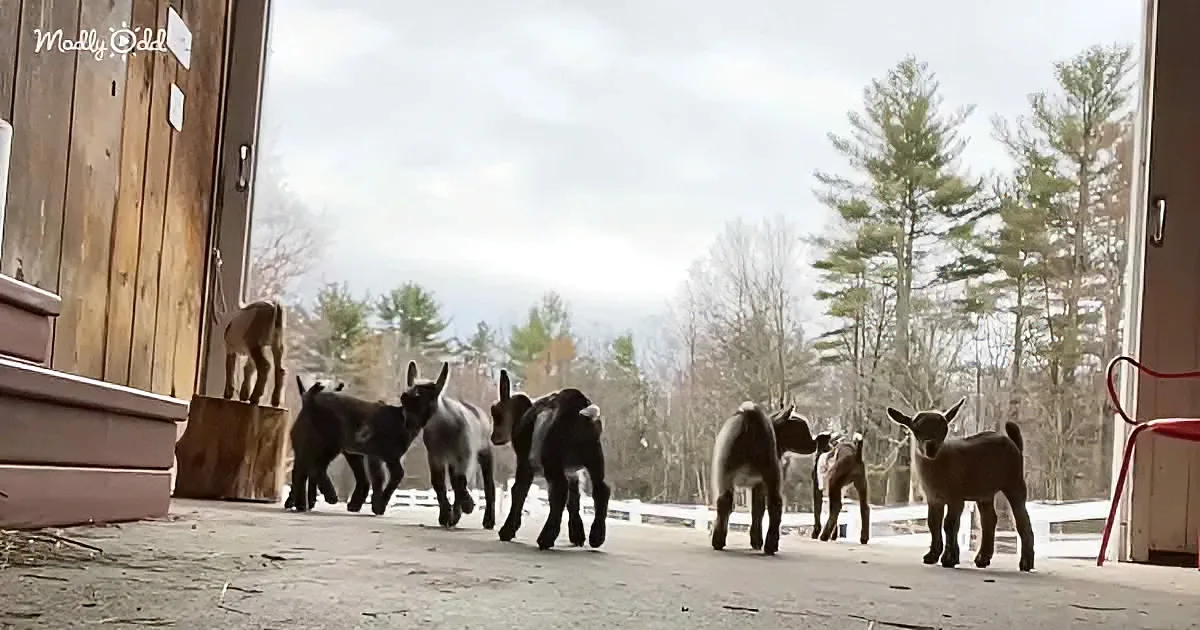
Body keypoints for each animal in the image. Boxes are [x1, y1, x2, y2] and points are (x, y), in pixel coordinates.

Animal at [287, 377, 425, 515]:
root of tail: (310, 401)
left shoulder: (361, 454)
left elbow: (368, 478)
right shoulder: (375, 455)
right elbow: (377, 478)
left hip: (322, 447)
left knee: (305, 470)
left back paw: (302, 503)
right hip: (329, 444)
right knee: (313, 468)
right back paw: (326, 497)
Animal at [400, 361, 496, 530]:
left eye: (422, 401)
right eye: (403, 399)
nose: (407, 422)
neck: (442, 425)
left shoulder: (465, 457)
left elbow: (460, 482)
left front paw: (467, 505)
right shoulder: (435, 457)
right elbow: (439, 484)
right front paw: (446, 514)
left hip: (484, 453)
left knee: (487, 486)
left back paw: (487, 520)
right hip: (452, 461)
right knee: (454, 482)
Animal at [489, 369, 609, 550]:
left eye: (496, 413)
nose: (494, 438)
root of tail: (579, 409)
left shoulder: (524, 462)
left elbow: (518, 491)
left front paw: (507, 532)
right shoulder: (572, 471)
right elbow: (574, 499)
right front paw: (577, 536)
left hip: (552, 457)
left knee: (559, 491)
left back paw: (545, 538)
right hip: (593, 455)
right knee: (600, 489)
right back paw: (596, 537)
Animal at [710, 402, 817, 555]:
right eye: (802, 429)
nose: (815, 443)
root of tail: (751, 416)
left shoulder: (757, 483)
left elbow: (757, 509)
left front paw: (755, 540)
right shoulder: (761, 483)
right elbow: (758, 510)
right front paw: (757, 540)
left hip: (725, 470)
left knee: (724, 501)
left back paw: (718, 540)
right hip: (771, 472)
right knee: (775, 504)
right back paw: (771, 545)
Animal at [887, 398, 1033, 572]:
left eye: (944, 429)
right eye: (916, 429)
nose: (931, 447)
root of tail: (1015, 445)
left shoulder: (955, 496)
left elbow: (950, 524)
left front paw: (949, 559)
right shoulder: (934, 498)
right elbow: (933, 523)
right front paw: (932, 556)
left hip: (1014, 481)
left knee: (1021, 519)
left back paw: (1026, 563)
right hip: (984, 492)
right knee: (989, 520)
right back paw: (982, 559)